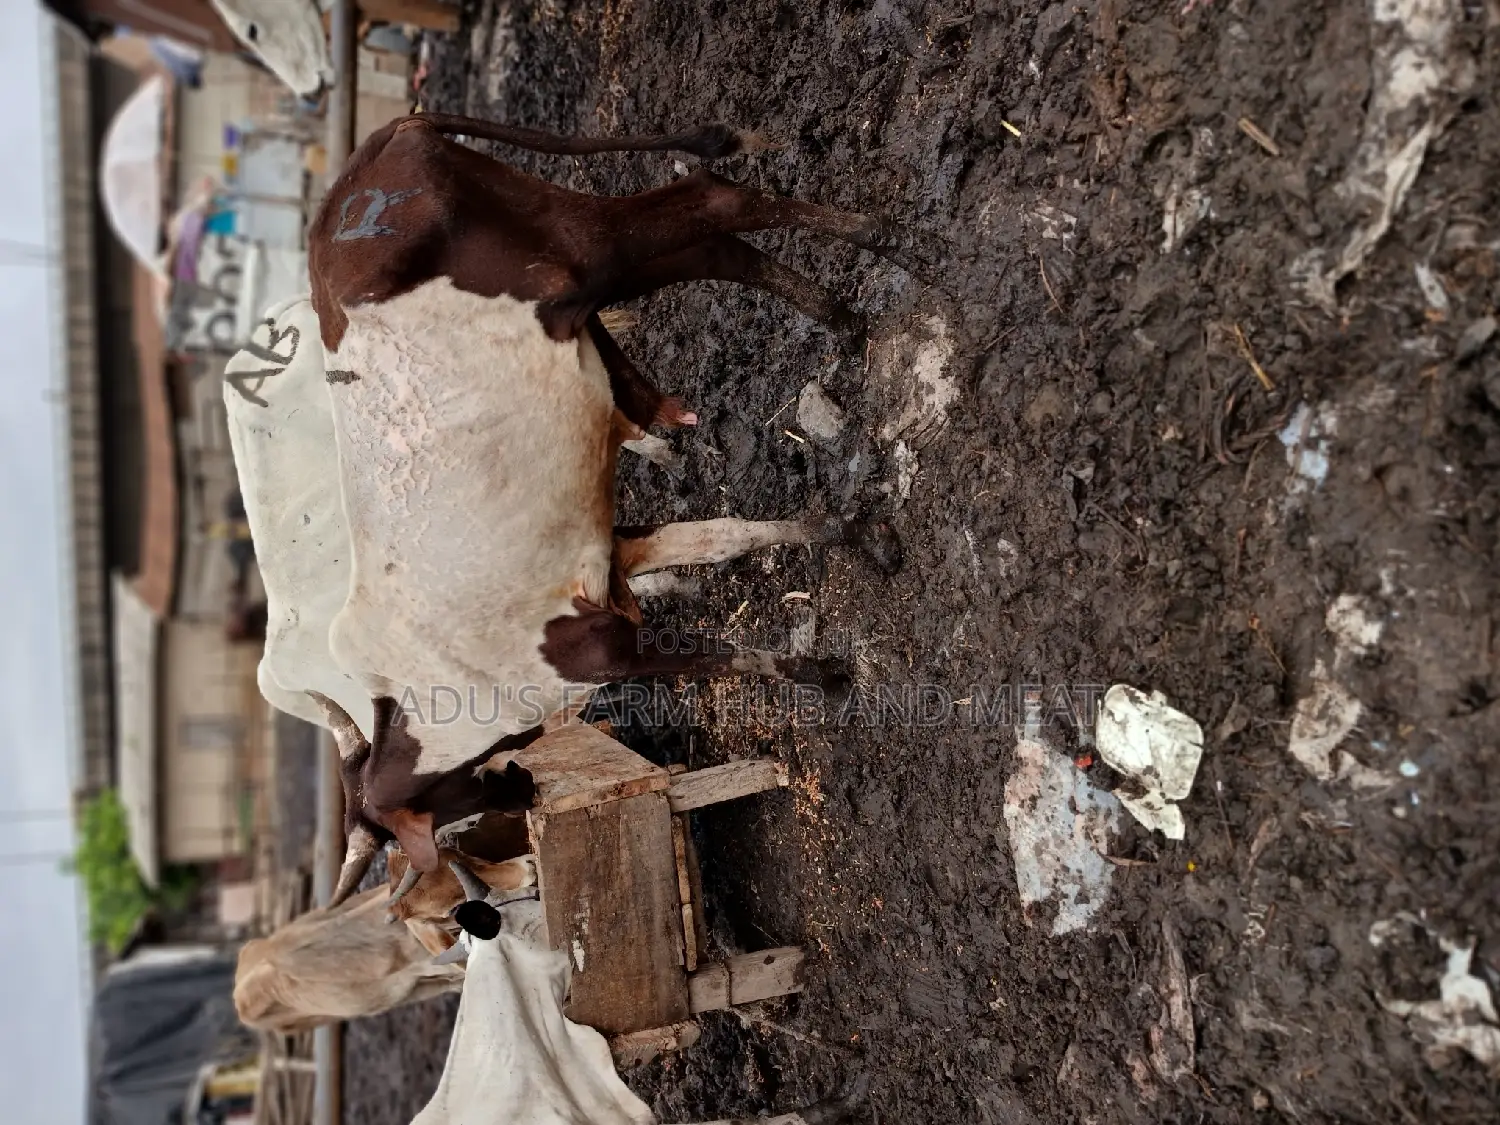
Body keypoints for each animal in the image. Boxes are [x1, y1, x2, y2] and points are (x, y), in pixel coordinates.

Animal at [305, 110, 918, 891]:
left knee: (713, 200)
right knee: (715, 242)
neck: (425, 706)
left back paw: (874, 232)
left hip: (581, 263)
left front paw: (823, 673)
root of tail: (380, 148)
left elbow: (715, 656)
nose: (522, 788)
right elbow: (724, 535)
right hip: (580, 275)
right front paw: (851, 531)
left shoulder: (604, 650)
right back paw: (841, 315)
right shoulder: (613, 555)